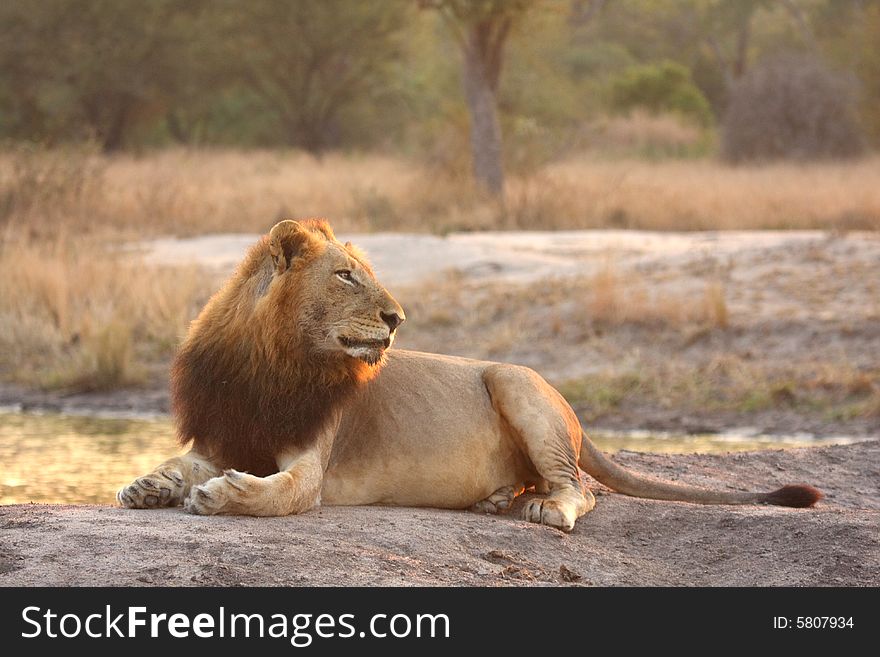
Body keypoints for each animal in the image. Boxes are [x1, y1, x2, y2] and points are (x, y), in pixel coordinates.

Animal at [113, 218, 820, 532]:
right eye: (346, 276)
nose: (397, 317)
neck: (272, 360)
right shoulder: (222, 433)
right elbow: (178, 463)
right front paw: (146, 485)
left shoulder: (311, 467)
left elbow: (280, 492)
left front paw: (222, 496)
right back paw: (495, 498)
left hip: (514, 381)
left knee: (582, 489)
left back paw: (545, 508)